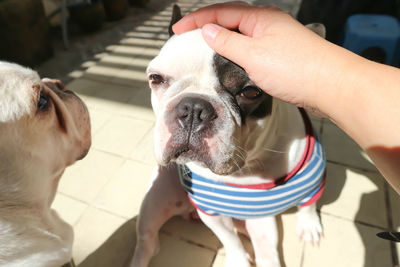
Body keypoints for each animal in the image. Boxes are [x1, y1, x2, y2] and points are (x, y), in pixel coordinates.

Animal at [130, 5, 326, 267]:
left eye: (250, 91)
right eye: (156, 78)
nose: (193, 108)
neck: (247, 169)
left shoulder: (313, 181)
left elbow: (309, 205)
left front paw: (309, 225)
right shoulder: (211, 213)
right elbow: (228, 238)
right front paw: (237, 258)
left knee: (266, 251)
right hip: (155, 200)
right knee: (147, 242)